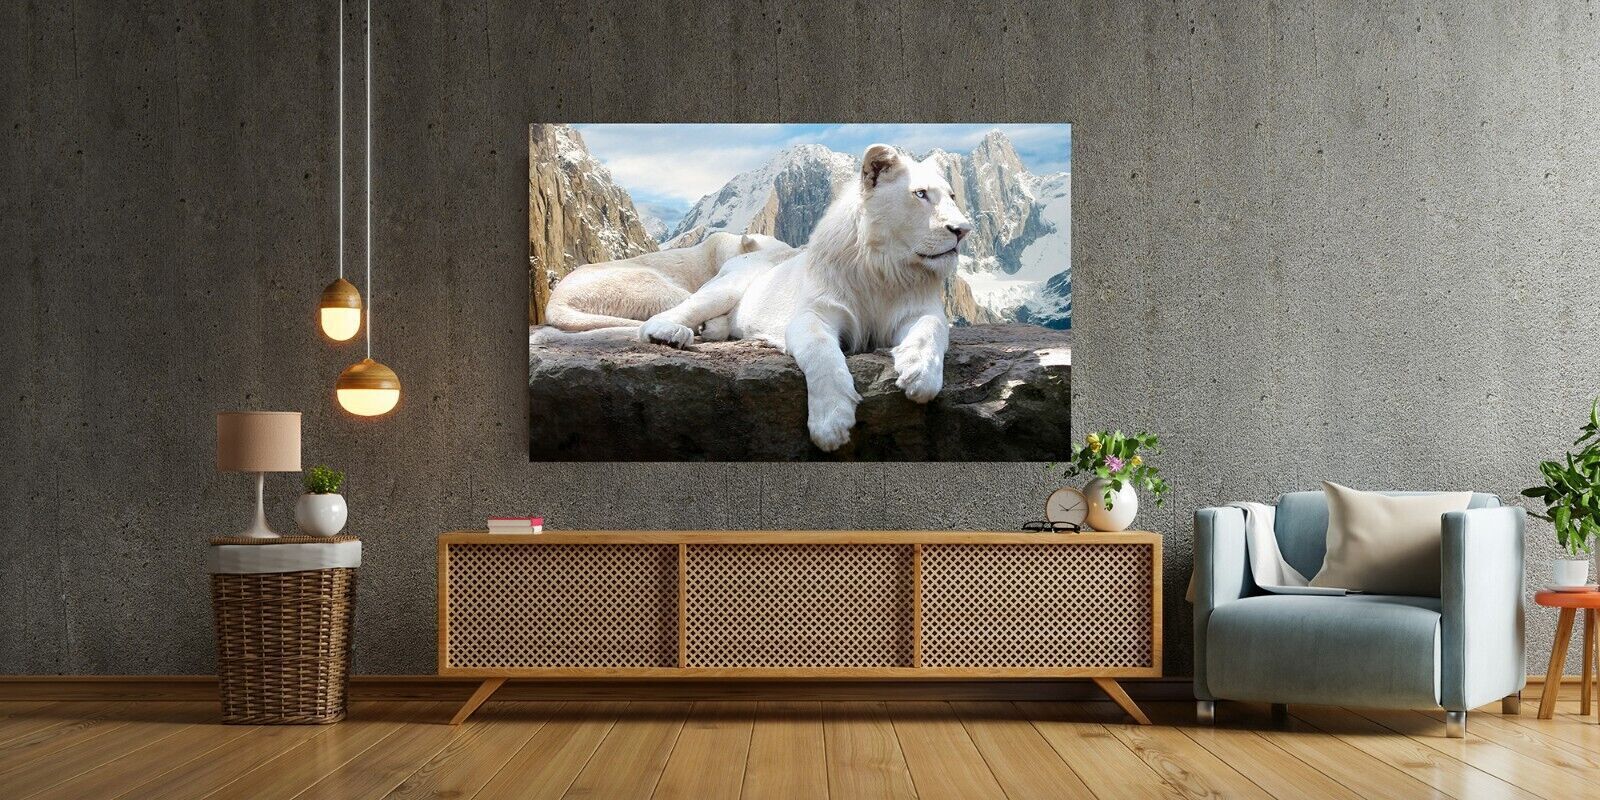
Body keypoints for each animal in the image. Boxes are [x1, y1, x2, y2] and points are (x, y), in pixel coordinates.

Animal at [638, 144, 973, 451]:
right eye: (920, 194)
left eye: (952, 196)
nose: (963, 230)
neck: (883, 267)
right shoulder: (815, 313)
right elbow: (820, 351)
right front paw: (831, 423)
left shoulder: (918, 310)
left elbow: (931, 328)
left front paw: (919, 373)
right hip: (726, 287)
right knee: (670, 314)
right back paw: (670, 333)